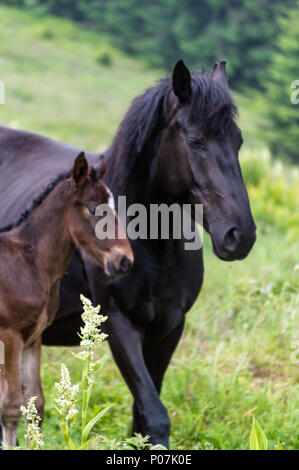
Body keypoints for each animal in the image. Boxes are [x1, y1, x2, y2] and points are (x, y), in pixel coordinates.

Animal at [0, 152, 134, 446]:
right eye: (94, 210)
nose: (125, 261)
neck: (30, 264)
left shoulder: (33, 338)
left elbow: (36, 404)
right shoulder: (10, 336)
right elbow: (11, 407)